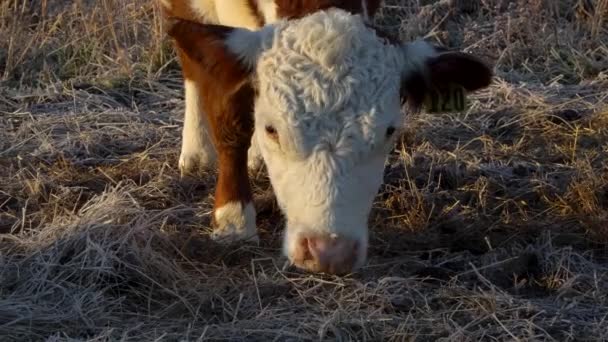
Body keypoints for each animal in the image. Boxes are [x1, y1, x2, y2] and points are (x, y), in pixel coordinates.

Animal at [158, 0, 494, 274]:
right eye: (272, 129)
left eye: (389, 131)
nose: (330, 252)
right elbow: (229, 112)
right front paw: (233, 220)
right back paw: (197, 151)